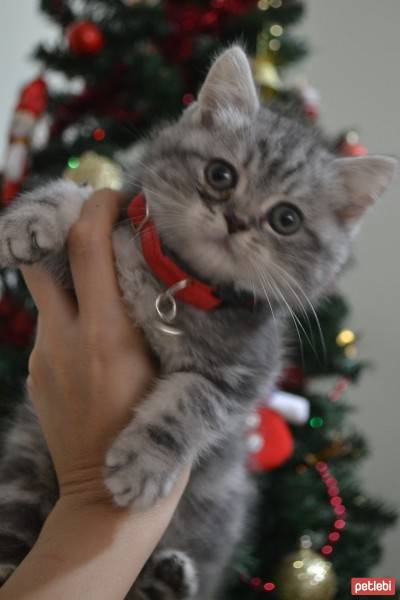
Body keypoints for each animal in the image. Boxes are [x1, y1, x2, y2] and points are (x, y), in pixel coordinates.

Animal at [0, 48, 396, 600]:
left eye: (286, 219)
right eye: (221, 175)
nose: (235, 220)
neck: (174, 284)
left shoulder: (243, 376)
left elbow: (190, 405)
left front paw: (144, 463)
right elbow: (80, 197)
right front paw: (34, 216)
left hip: (215, 518)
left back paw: (170, 577)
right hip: (25, 460)